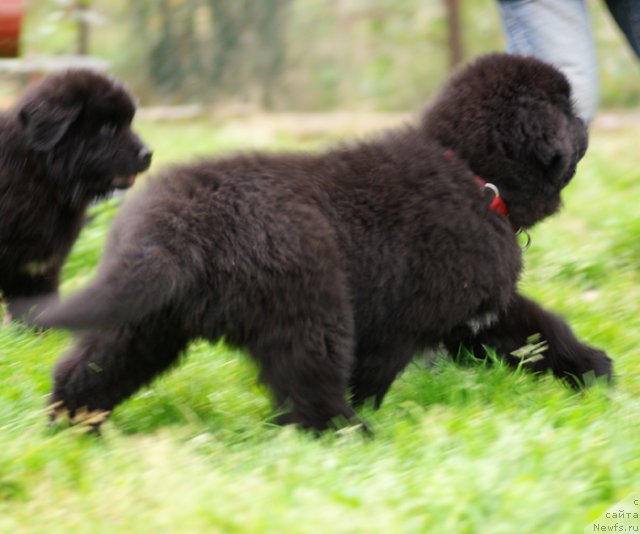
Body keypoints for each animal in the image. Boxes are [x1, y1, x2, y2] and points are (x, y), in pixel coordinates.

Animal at [36, 54, 616, 432]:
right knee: (308, 391)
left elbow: (543, 332)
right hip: (309, 309)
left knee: (90, 365)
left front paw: (594, 370)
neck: (471, 171)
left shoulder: (478, 313)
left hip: (144, 315)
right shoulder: (403, 323)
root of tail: (178, 224)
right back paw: (350, 434)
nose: (588, 123)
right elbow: (373, 375)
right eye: (566, 106)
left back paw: (72, 423)